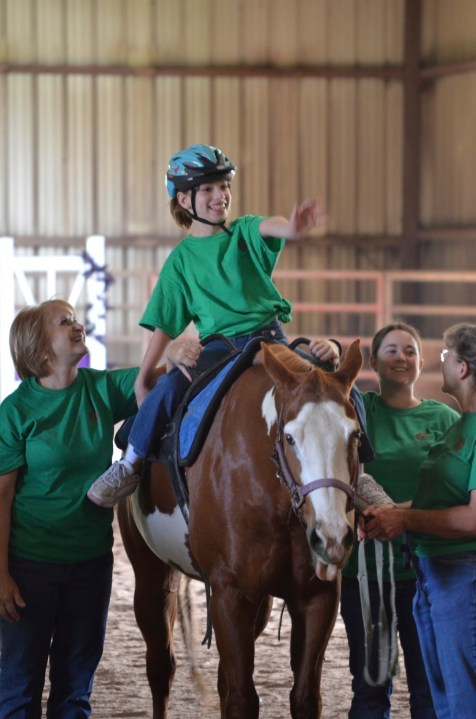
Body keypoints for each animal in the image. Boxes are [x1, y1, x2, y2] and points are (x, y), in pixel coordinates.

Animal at [117, 340, 362, 716]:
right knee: (161, 666)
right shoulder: (230, 595)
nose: (331, 536)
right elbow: (242, 699)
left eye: (355, 435)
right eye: (289, 437)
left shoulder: (316, 597)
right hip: (150, 574)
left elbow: (304, 697)